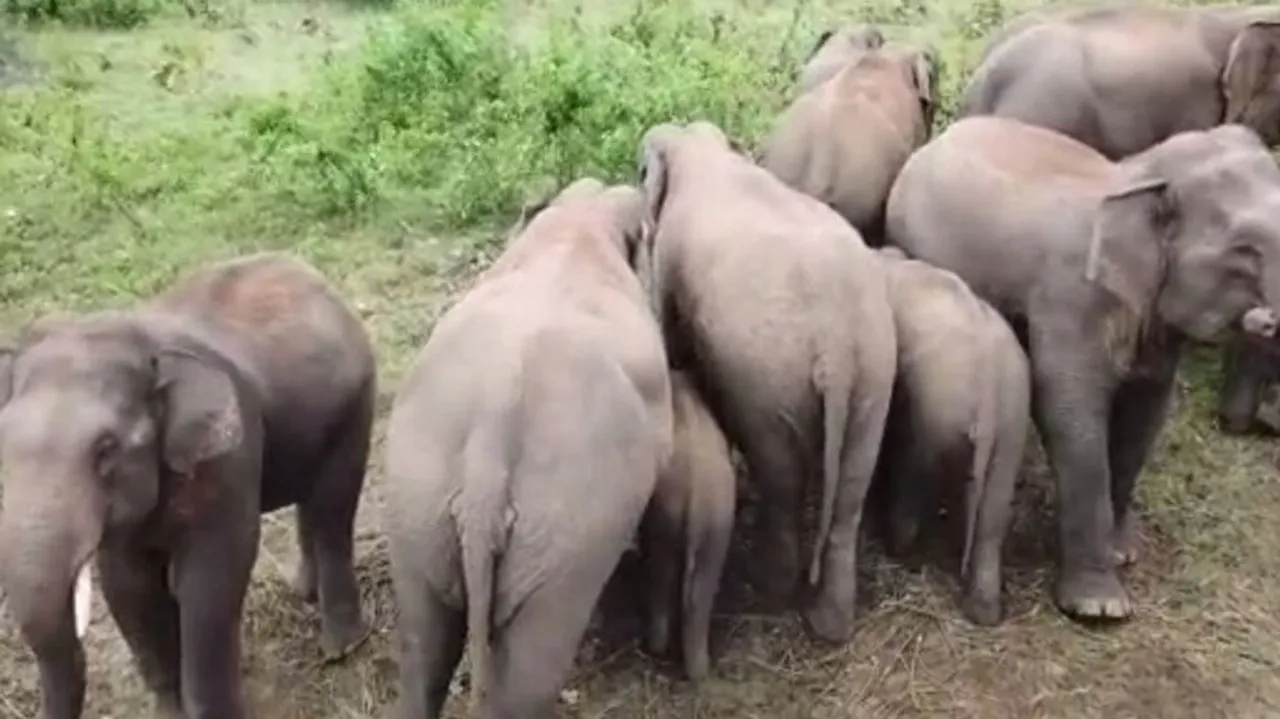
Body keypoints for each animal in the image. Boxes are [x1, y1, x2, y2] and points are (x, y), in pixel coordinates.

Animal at [0, 252, 375, 719]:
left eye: (106, 449)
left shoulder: (227, 454)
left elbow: (209, 580)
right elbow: (130, 588)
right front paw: (168, 711)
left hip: (356, 407)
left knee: (331, 510)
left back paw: (341, 649)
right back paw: (304, 592)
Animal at [383, 177, 673, 719]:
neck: (578, 225)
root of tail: (488, 444)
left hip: (418, 504)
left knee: (423, 650)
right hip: (567, 537)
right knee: (532, 671)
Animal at [637, 120, 898, 644]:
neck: (704, 151)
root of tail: (838, 347)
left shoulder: (670, 258)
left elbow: (670, 331)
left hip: (770, 387)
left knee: (781, 477)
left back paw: (769, 588)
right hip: (875, 380)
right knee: (850, 495)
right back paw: (829, 626)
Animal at [641, 369, 736, 681]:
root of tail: (697, 495)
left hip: (667, 519)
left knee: (662, 572)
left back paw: (656, 648)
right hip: (717, 525)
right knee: (700, 591)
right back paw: (699, 672)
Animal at [873, 246, 1031, 626]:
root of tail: (989, 386)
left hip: (934, 411)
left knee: (912, 466)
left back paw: (898, 548)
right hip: (1013, 420)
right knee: (992, 512)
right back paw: (984, 612)